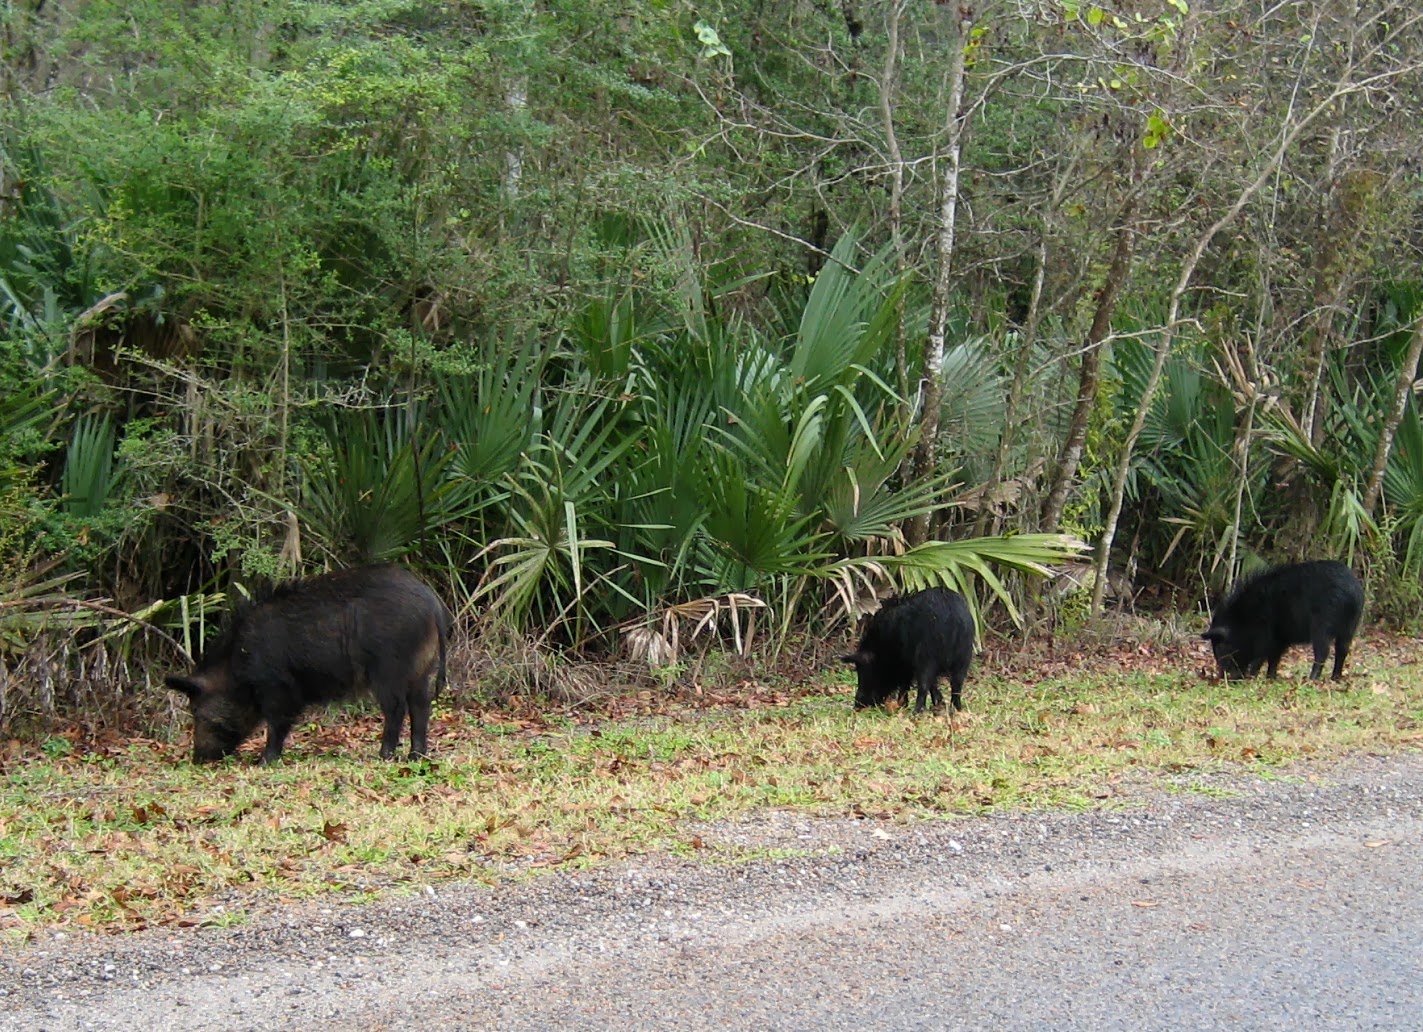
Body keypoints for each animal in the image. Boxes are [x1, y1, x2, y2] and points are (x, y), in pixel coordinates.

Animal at [166, 565, 452, 763]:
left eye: (196, 710)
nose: (198, 758)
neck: (235, 666)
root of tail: (433, 604)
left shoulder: (277, 685)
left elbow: (277, 722)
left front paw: (264, 762)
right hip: (423, 666)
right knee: (421, 705)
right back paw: (415, 756)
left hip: (389, 667)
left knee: (397, 707)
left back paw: (384, 756)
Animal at [842, 587, 974, 712]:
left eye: (863, 670)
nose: (857, 705)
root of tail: (953, 618)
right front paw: (938, 703)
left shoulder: (906, 662)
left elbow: (907, 683)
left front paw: (902, 706)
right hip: (964, 656)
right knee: (957, 685)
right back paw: (956, 709)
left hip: (927, 655)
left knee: (924, 686)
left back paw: (916, 712)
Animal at [1201, 559, 1363, 681]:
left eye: (1222, 646)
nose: (1223, 677)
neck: (1243, 618)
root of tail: (1352, 592)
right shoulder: (1279, 638)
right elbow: (1274, 657)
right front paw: (1270, 677)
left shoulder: (1264, 635)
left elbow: (1261, 657)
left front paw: (1252, 676)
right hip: (1351, 626)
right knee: (1342, 649)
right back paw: (1335, 678)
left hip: (1322, 625)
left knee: (1323, 651)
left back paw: (1311, 679)